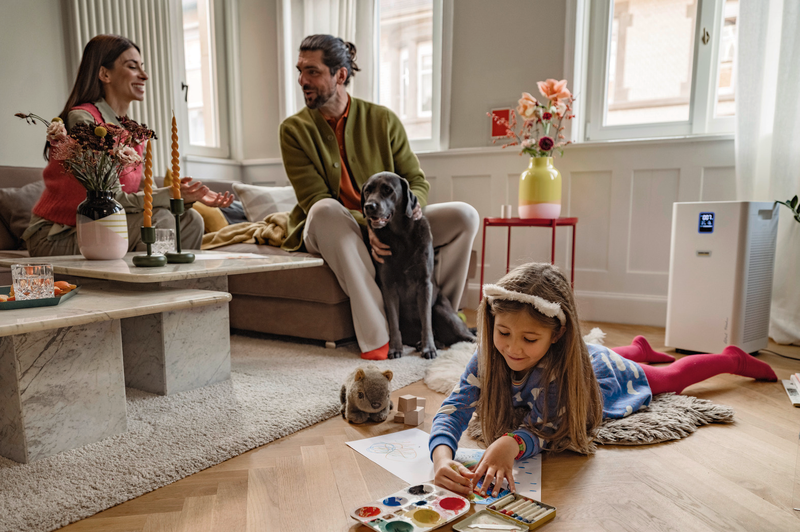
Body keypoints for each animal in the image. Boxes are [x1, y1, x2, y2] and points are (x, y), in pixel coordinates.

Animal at [362, 172, 476, 360]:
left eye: (388, 190)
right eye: (367, 190)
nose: (369, 206)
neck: (400, 236)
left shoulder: (424, 284)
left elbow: (426, 321)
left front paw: (428, 348)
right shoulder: (388, 287)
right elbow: (393, 322)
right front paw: (395, 348)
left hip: (443, 312)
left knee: (470, 336)